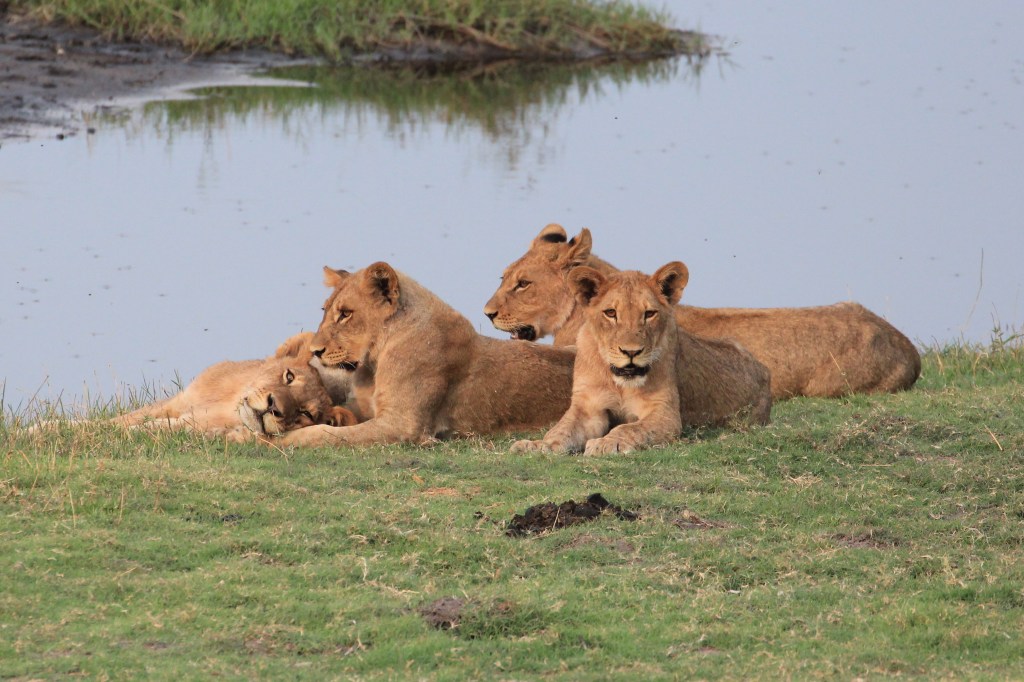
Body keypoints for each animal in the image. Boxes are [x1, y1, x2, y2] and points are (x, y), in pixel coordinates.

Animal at [277, 262, 576, 447]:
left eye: (346, 313)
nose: (315, 351)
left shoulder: (403, 425)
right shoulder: (365, 407)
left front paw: (286, 439)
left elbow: (328, 435)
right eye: (325, 310)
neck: (374, 362)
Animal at [512, 262, 772, 456]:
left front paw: (606, 442)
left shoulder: (665, 412)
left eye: (649, 314)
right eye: (611, 313)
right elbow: (560, 430)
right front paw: (538, 445)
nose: (631, 352)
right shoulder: (587, 407)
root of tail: (763, 368)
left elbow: (631, 428)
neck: (619, 383)